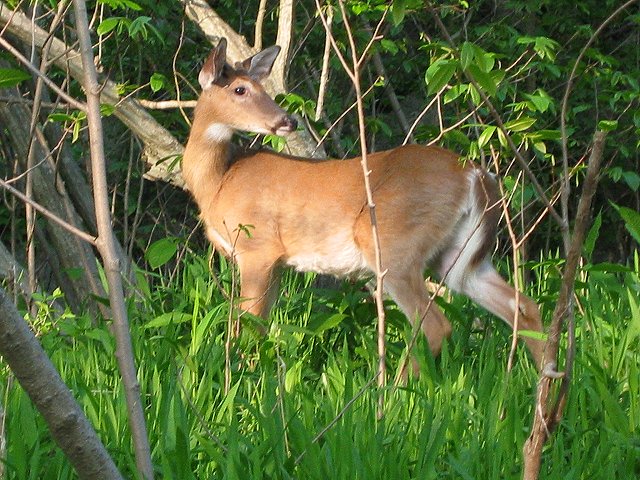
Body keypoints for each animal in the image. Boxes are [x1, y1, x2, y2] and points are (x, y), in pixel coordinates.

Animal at [181, 38, 545, 371]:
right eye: (240, 89)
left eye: (260, 87)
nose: (288, 121)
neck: (219, 180)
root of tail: (475, 174)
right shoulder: (276, 262)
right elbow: (261, 325)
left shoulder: (257, 247)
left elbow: (249, 328)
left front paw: (243, 379)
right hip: (459, 255)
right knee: (523, 306)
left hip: (393, 245)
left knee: (434, 325)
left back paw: (393, 393)